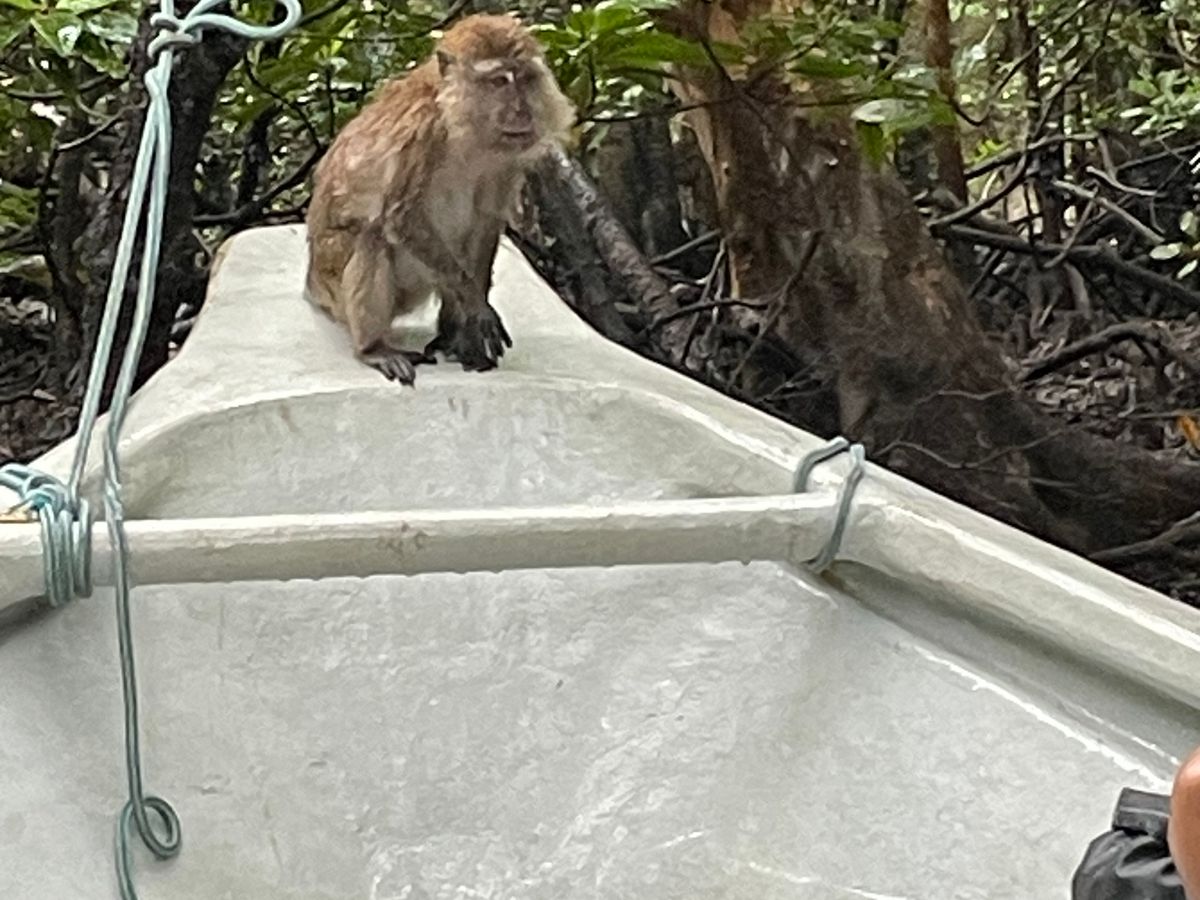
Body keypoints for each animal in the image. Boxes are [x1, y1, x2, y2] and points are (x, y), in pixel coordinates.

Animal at [304, 13, 575, 385]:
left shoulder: (505, 159)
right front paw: (475, 305)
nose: (522, 111)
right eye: (499, 82)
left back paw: (452, 332)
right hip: (332, 278)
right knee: (373, 236)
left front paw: (471, 314)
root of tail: (312, 283)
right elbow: (401, 217)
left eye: (525, 79)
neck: (458, 124)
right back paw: (373, 348)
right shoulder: (420, 132)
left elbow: (484, 221)